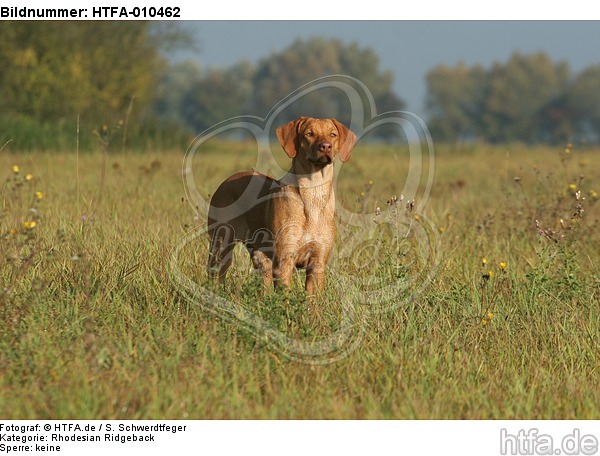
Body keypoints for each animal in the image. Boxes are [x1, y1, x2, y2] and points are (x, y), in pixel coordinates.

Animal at [207, 116, 356, 296]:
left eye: (333, 134)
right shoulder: (284, 261)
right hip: (221, 246)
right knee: (215, 275)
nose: (325, 146)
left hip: (261, 257)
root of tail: (227, 180)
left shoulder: (318, 263)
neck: (313, 192)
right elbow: (284, 298)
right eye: (309, 134)